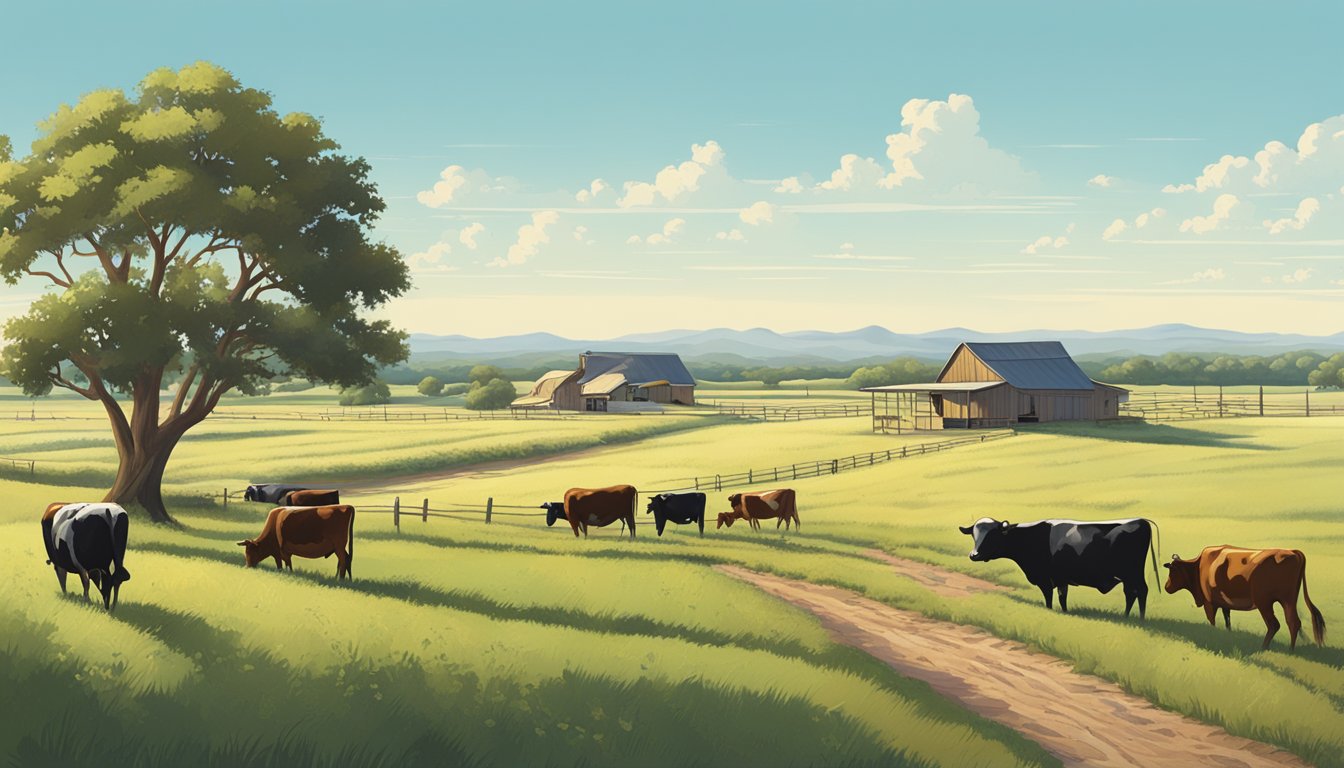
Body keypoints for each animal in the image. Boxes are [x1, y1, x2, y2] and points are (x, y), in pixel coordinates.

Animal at [956, 516, 1155, 618]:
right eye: (973, 535)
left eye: (992, 535)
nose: (974, 555)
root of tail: (1140, 520)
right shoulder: (1061, 578)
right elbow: (1062, 597)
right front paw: (1065, 613)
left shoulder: (1046, 577)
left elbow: (1051, 597)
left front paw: (1051, 611)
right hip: (1128, 576)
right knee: (1130, 593)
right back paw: (1126, 616)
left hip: (1133, 573)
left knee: (1141, 591)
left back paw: (1141, 619)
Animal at [1166, 546, 1322, 648]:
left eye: (1172, 571)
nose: (1166, 587)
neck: (1199, 566)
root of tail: (1293, 552)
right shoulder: (1224, 603)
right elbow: (1227, 620)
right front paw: (1228, 635)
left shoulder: (1209, 602)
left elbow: (1212, 620)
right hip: (1288, 601)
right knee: (1293, 622)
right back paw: (1291, 650)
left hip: (1265, 602)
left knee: (1274, 624)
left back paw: (1263, 648)